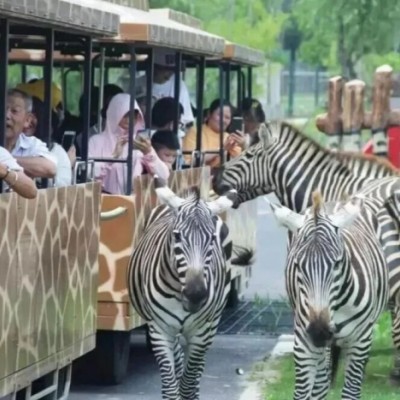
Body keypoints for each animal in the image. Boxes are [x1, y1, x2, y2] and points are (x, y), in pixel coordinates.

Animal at [127, 177, 237, 400]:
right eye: (177, 237)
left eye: (212, 239)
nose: (196, 294)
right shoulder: (159, 330)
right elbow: (170, 387)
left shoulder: (201, 333)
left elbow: (188, 384)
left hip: (213, 323)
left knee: (196, 373)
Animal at [270, 191, 389, 399]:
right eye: (297, 265)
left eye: (337, 263)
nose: (319, 331)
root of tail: (333, 202)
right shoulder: (303, 340)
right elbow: (304, 392)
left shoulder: (360, 340)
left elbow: (351, 392)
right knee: (320, 385)